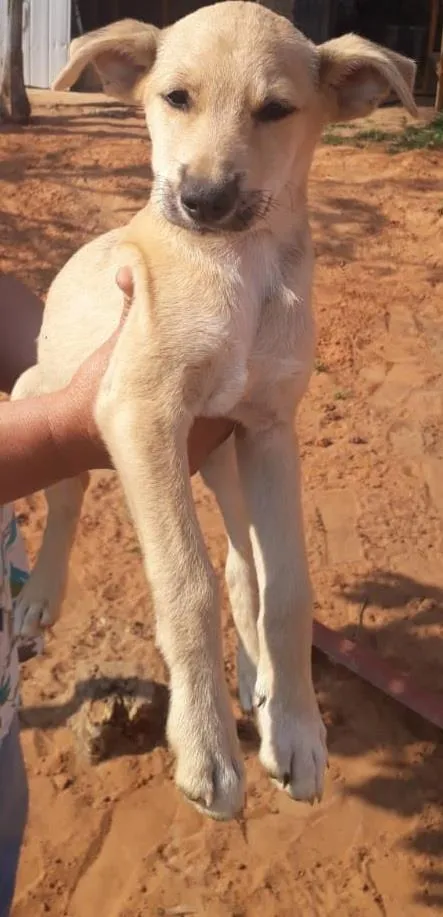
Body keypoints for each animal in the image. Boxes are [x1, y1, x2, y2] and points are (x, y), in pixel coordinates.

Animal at [13, 3, 416, 820]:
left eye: (275, 110)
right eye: (175, 98)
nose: (201, 201)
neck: (239, 268)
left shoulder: (268, 430)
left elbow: (286, 588)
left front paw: (295, 730)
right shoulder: (141, 414)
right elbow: (186, 583)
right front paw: (206, 747)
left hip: (227, 459)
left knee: (243, 568)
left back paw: (258, 681)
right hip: (42, 392)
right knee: (67, 498)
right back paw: (38, 596)